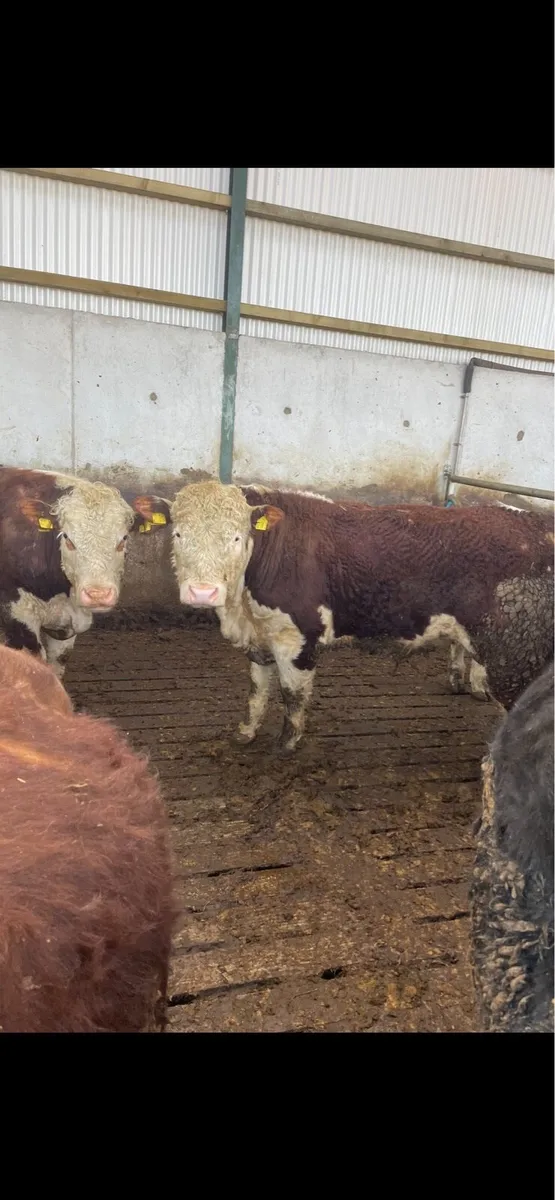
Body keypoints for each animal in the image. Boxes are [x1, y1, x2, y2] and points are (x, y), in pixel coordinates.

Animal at [168, 480, 554, 752]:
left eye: (236, 537)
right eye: (178, 533)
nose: (202, 591)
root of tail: (535, 523)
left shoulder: (296, 638)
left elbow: (292, 695)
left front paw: (287, 744)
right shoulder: (261, 636)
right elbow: (256, 692)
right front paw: (245, 733)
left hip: (517, 654)